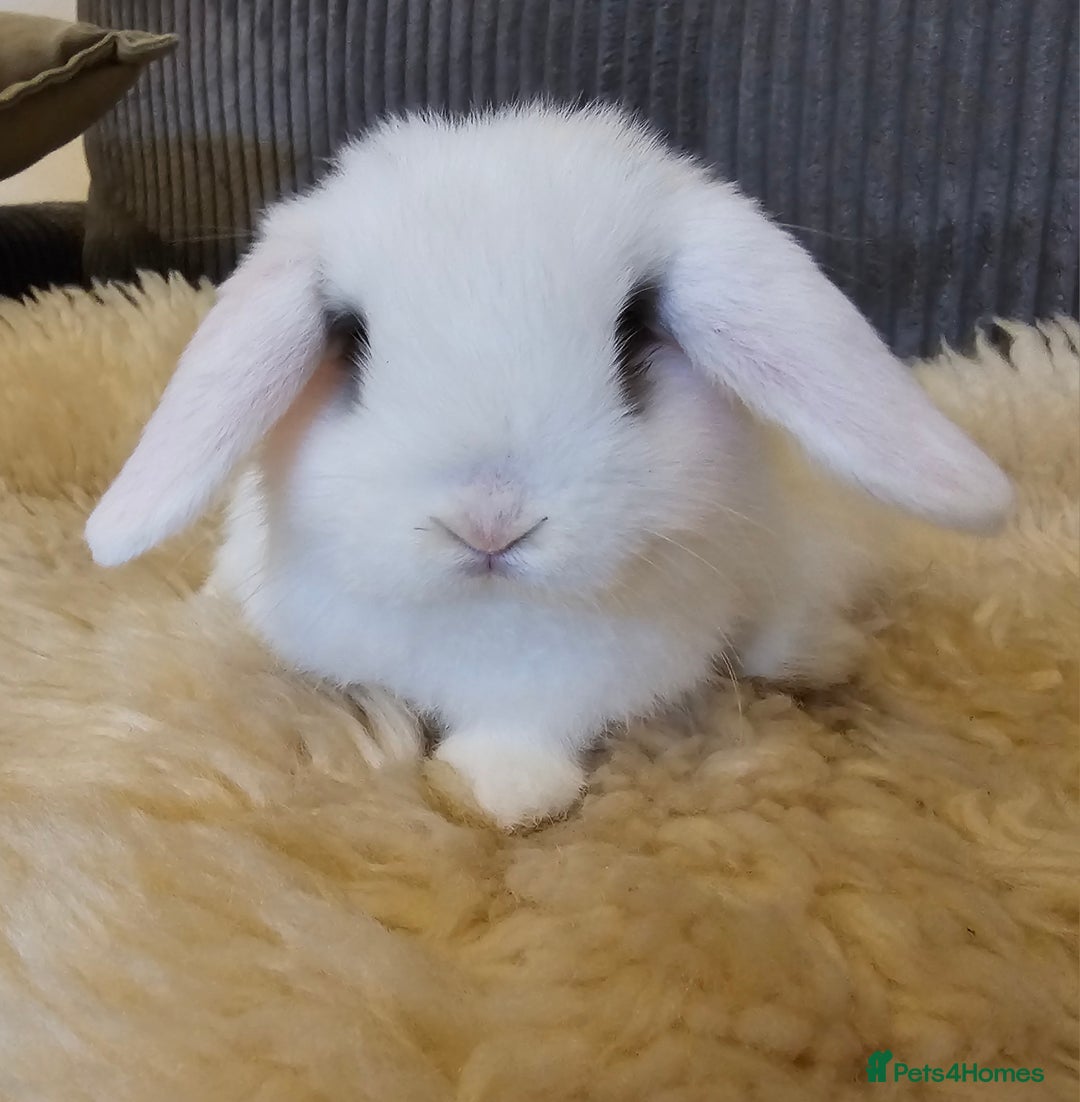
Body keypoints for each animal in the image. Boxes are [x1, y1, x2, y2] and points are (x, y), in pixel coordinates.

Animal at [85, 103, 1012, 829]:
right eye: (352, 340)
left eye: (634, 333)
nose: (489, 520)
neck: (491, 620)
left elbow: (524, 738)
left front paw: (495, 791)